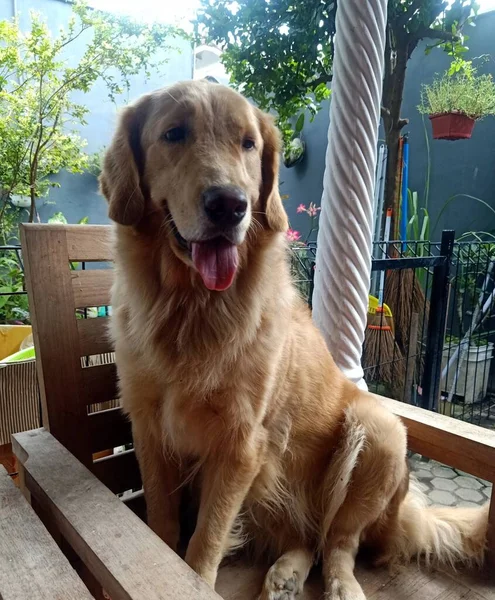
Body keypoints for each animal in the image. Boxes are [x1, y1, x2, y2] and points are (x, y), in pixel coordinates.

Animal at [101, 81, 488, 600]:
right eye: (174, 133)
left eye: (248, 144)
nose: (231, 205)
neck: (191, 310)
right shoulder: (148, 428)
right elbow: (162, 521)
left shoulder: (239, 445)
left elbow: (206, 538)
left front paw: (194, 578)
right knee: (307, 539)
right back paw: (286, 574)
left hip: (380, 431)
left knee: (338, 543)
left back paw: (341, 585)